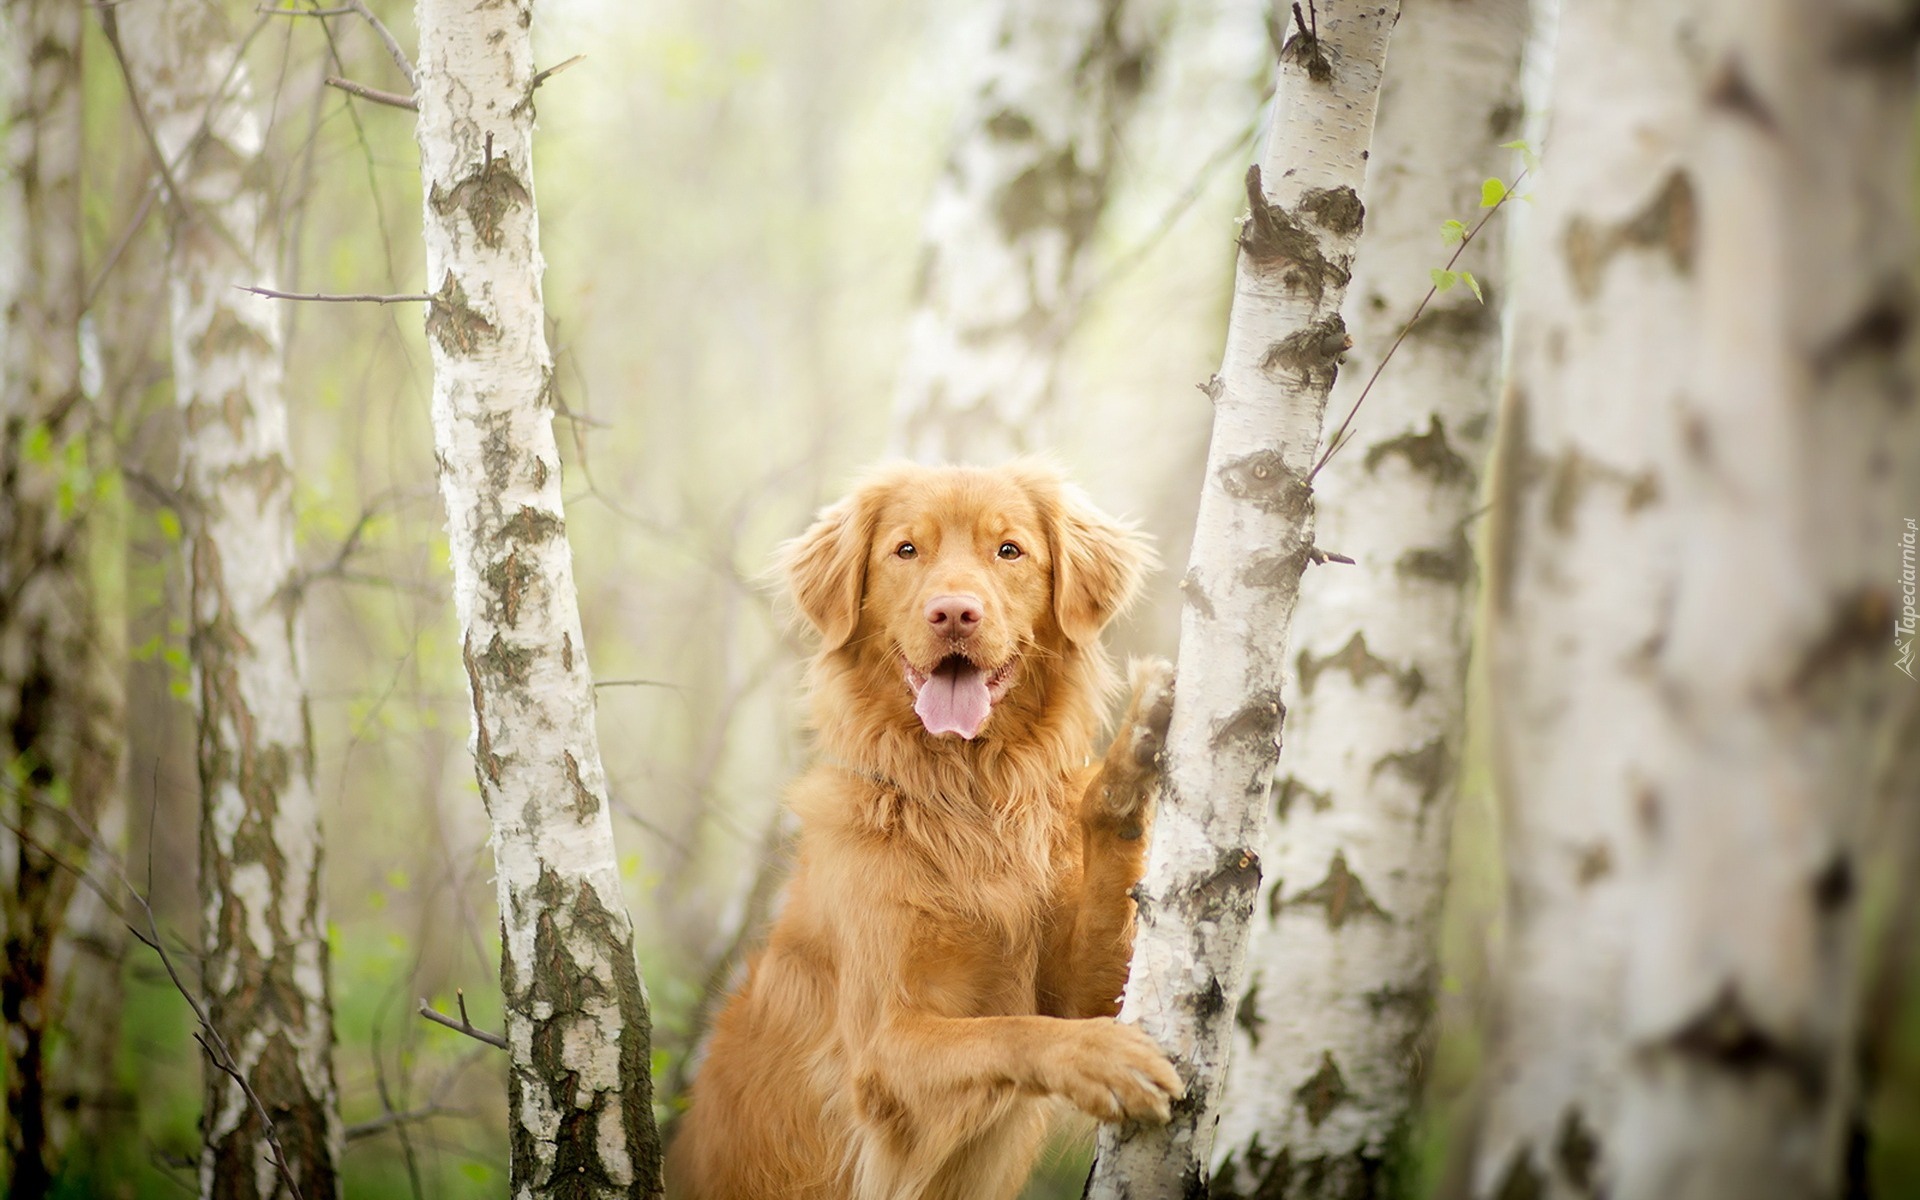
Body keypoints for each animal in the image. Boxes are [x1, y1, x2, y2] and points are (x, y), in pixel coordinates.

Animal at [675, 460, 1182, 1198]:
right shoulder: (884, 1050)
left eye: (1009, 550)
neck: (967, 798)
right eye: (906, 550)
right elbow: (1008, 1030)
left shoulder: (1089, 985)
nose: (953, 613)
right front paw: (1099, 1056)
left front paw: (1134, 755)